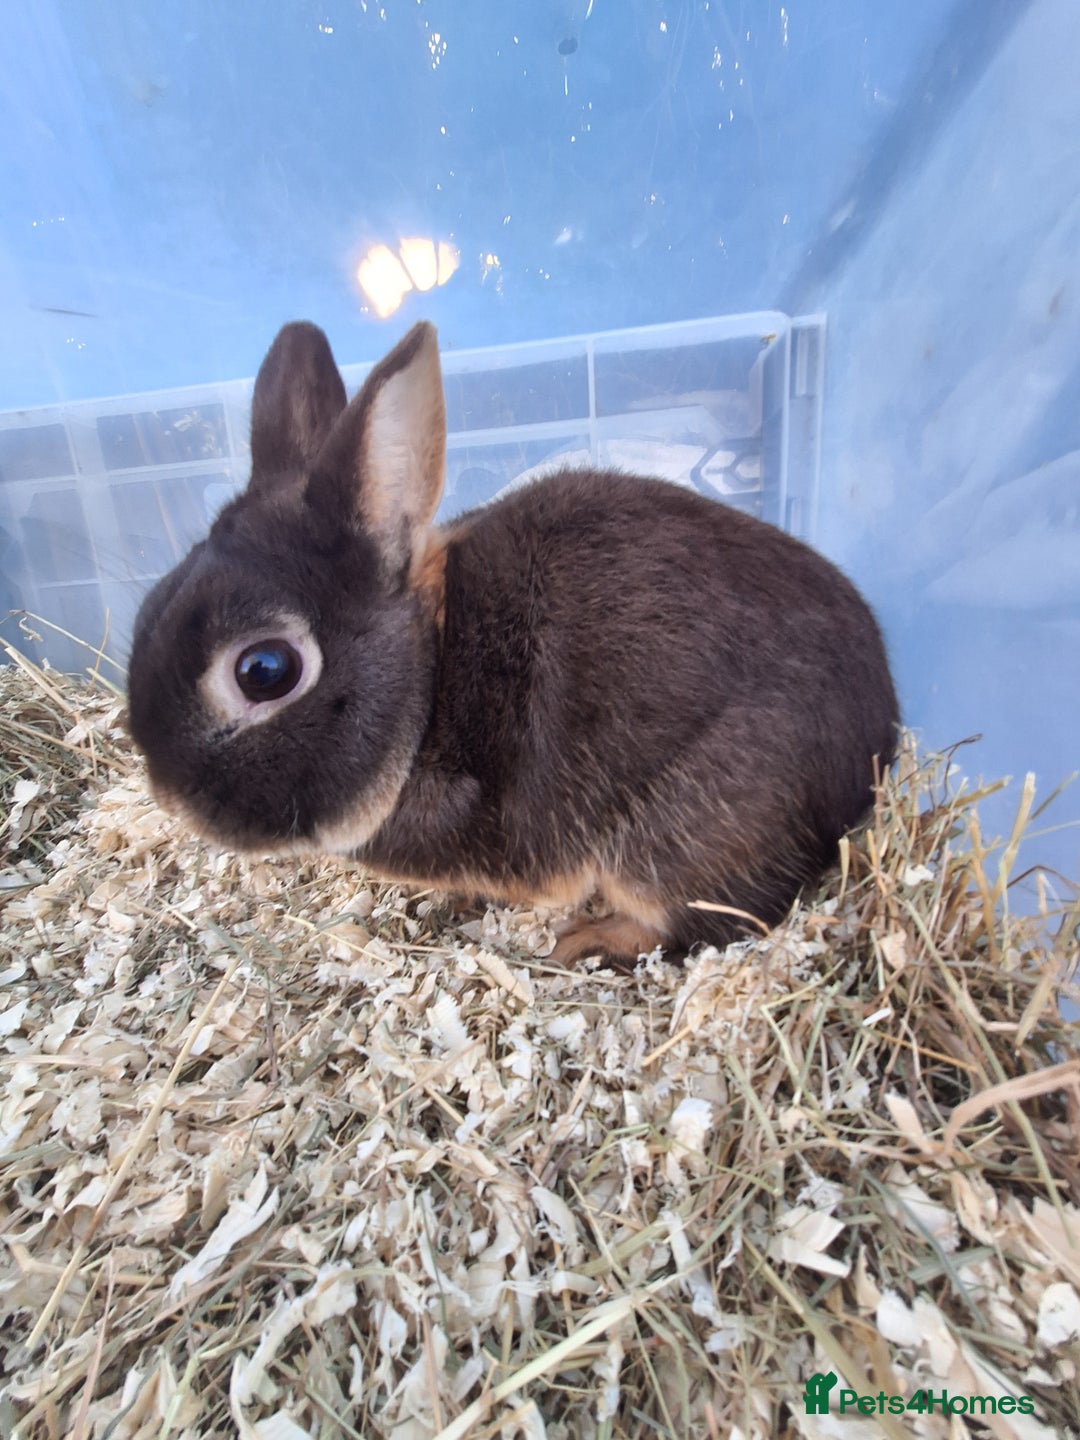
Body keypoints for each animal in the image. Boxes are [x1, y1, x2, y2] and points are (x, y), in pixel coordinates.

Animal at [127, 319, 899, 964]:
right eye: (148, 609)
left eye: (264, 670)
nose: (169, 799)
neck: (430, 680)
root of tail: (875, 757)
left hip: (677, 836)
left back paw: (584, 941)